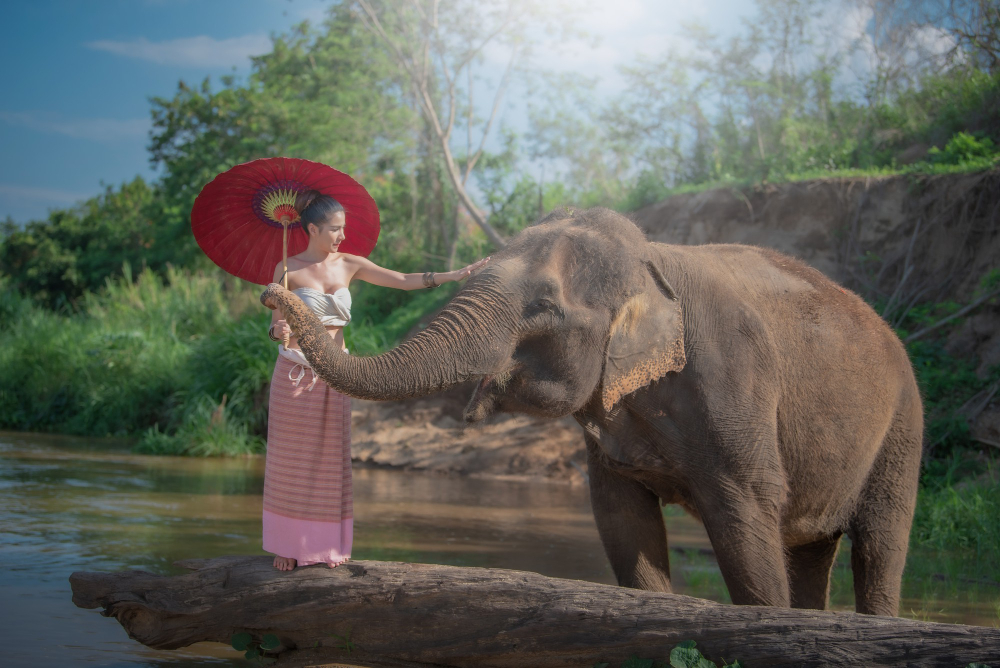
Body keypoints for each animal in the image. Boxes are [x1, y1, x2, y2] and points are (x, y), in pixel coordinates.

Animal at [261, 207, 923, 616]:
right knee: (812, 546)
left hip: (904, 426)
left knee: (880, 544)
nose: (274, 292)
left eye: (545, 307)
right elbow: (622, 522)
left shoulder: (733, 381)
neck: (654, 259)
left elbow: (747, 518)